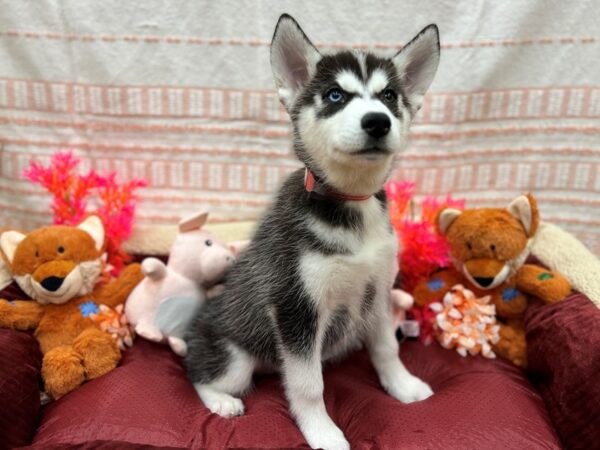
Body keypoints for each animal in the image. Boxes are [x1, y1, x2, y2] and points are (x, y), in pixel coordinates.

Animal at [186, 14, 440, 450]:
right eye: (335, 95)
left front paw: (403, 385)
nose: (377, 121)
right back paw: (221, 400)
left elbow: (387, 348)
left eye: (389, 95)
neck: (351, 201)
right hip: (236, 356)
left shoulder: (377, 292)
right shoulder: (296, 307)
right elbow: (308, 385)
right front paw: (323, 432)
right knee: (201, 374)